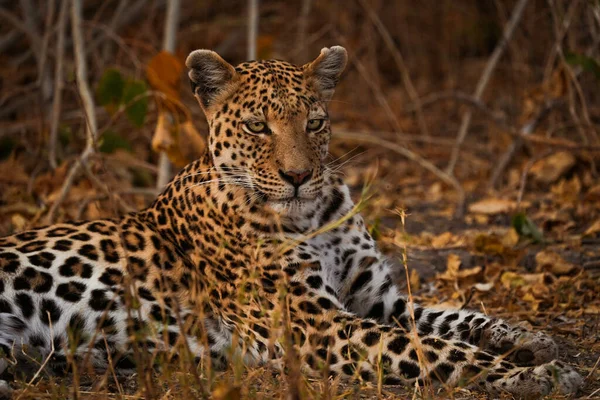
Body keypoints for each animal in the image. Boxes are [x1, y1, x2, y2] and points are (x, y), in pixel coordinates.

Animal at [0, 46, 584, 396]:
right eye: (258, 126)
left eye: (315, 122)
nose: (299, 176)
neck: (312, 218)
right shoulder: (317, 327)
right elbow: (436, 349)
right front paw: (539, 374)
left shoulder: (376, 300)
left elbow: (451, 319)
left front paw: (528, 339)